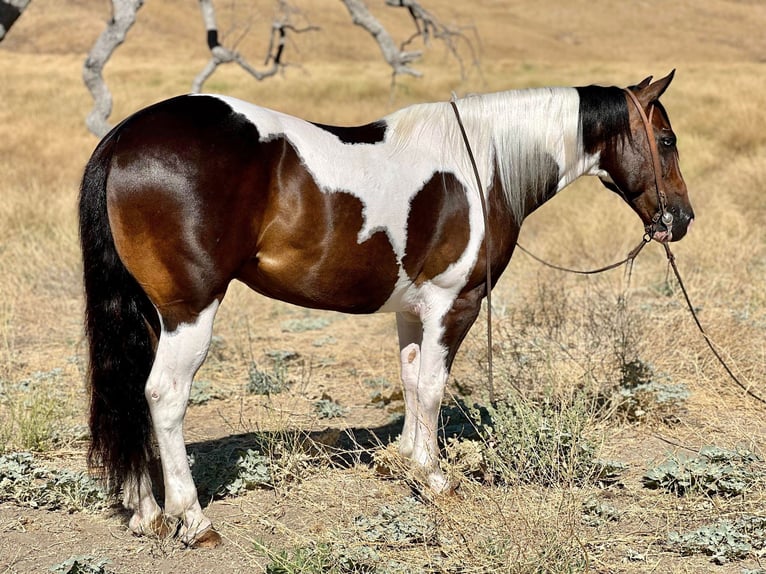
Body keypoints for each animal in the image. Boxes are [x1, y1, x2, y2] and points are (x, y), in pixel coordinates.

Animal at [78, 70, 696, 548]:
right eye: (667, 140)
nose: (682, 219)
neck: (486, 163)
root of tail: (124, 137)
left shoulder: (412, 309)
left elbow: (410, 378)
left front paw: (401, 462)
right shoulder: (454, 302)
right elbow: (433, 387)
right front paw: (435, 478)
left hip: (146, 313)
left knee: (130, 391)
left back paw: (147, 514)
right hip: (189, 311)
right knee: (163, 396)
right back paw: (192, 518)